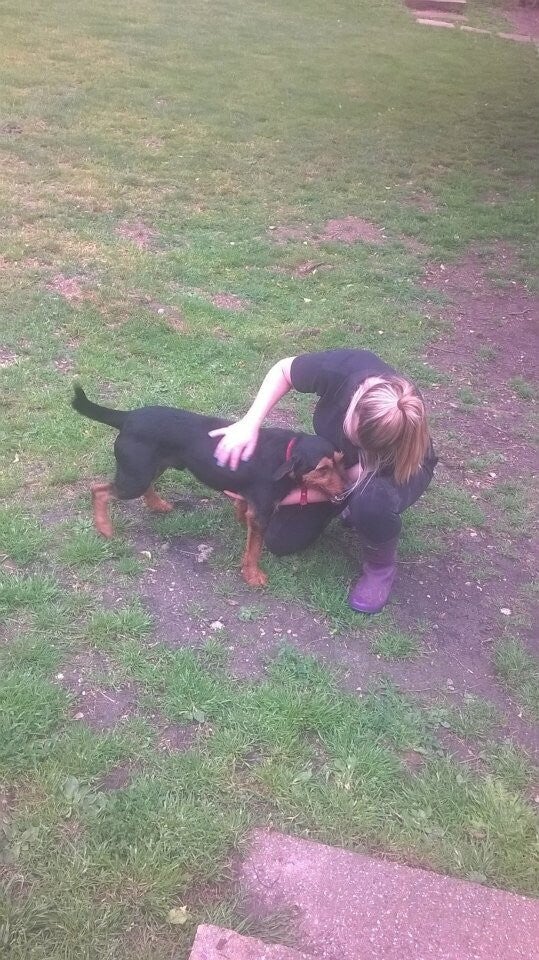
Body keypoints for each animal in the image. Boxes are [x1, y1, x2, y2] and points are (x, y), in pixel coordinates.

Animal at [72, 386, 347, 586]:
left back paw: (157, 505)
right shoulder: (261, 513)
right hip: (135, 479)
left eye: (341, 461)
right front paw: (253, 575)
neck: (286, 455)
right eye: (322, 469)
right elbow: (254, 549)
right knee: (98, 490)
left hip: (147, 468)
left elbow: (242, 513)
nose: (346, 491)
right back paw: (105, 528)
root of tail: (127, 417)